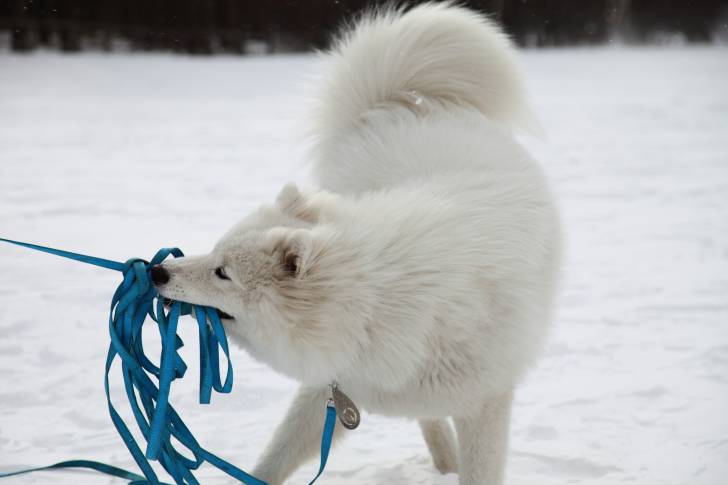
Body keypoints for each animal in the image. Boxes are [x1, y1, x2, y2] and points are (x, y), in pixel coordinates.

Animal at [155, 3, 564, 484]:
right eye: (214, 252)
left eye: (223, 272)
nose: (156, 270)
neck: (374, 304)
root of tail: (396, 103)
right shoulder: (331, 388)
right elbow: (274, 458)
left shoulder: (485, 402)